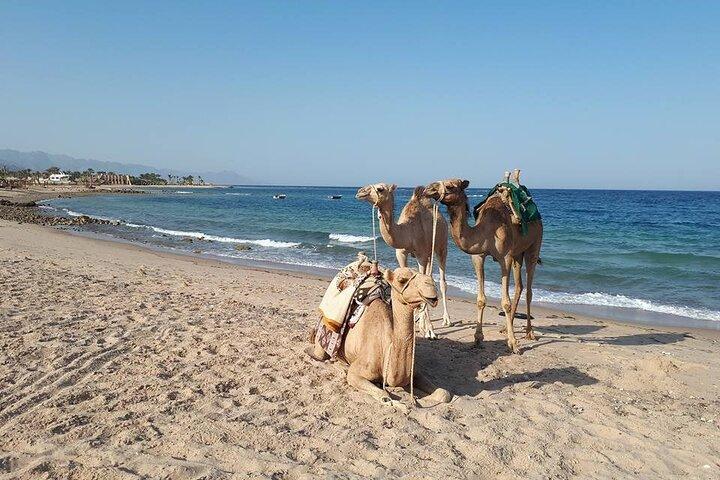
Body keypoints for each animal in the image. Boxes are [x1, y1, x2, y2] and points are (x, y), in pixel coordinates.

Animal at [308, 267, 453, 410]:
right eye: (401, 280)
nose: (431, 284)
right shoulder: (356, 372)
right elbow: (384, 395)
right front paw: (400, 405)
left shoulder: (415, 372)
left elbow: (444, 394)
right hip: (321, 343)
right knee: (317, 356)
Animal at [355, 183, 451, 339]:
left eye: (380, 189)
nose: (360, 192)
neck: (408, 232)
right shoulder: (401, 254)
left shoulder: (422, 255)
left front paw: (429, 330)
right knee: (429, 276)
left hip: (441, 246)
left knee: (442, 281)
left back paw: (445, 320)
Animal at [424, 178, 543, 354]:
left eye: (450, 186)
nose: (427, 189)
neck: (487, 229)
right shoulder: (478, 257)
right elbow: (480, 299)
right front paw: (478, 339)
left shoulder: (505, 257)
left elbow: (505, 302)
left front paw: (514, 344)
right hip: (517, 254)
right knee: (519, 286)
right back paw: (505, 328)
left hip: (533, 246)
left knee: (529, 290)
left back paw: (529, 332)